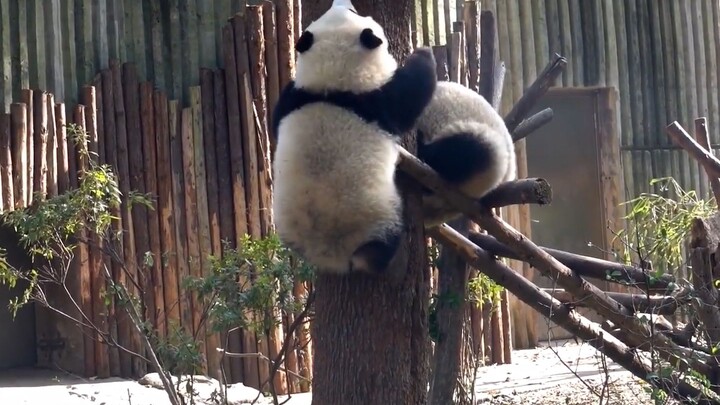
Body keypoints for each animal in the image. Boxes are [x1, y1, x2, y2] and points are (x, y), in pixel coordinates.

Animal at [270, 0, 438, 274]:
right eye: (353, 13)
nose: (343, 2)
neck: (333, 85)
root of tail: (330, 253)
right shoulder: (378, 100)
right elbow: (412, 94)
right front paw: (424, 52)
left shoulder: (294, 97)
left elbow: (275, 120)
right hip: (378, 218)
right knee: (386, 238)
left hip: (287, 227)